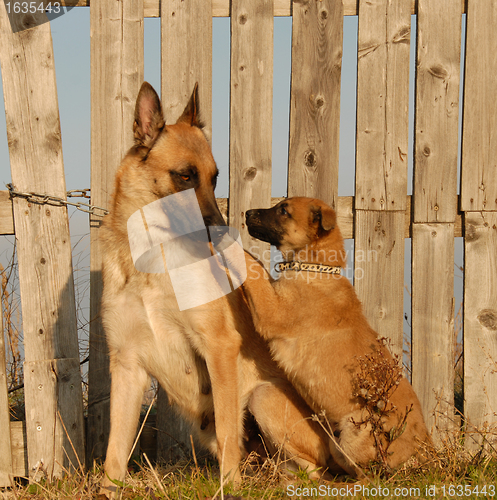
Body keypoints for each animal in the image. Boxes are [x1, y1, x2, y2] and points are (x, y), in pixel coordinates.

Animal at [98, 85, 338, 496]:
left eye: (214, 178)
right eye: (184, 176)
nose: (224, 235)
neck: (152, 259)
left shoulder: (219, 347)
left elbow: (229, 430)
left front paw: (230, 487)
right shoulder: (127, 365)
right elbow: (116, 446)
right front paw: (106, 490)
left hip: (262, 397)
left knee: (308, 469)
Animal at [234, 198, 432, 476]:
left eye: (283, 210)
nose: (247, 213)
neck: (317, 268)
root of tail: (425, 444)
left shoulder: (271, 312)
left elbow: (254, 267)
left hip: (351, 431)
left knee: (367, 474)